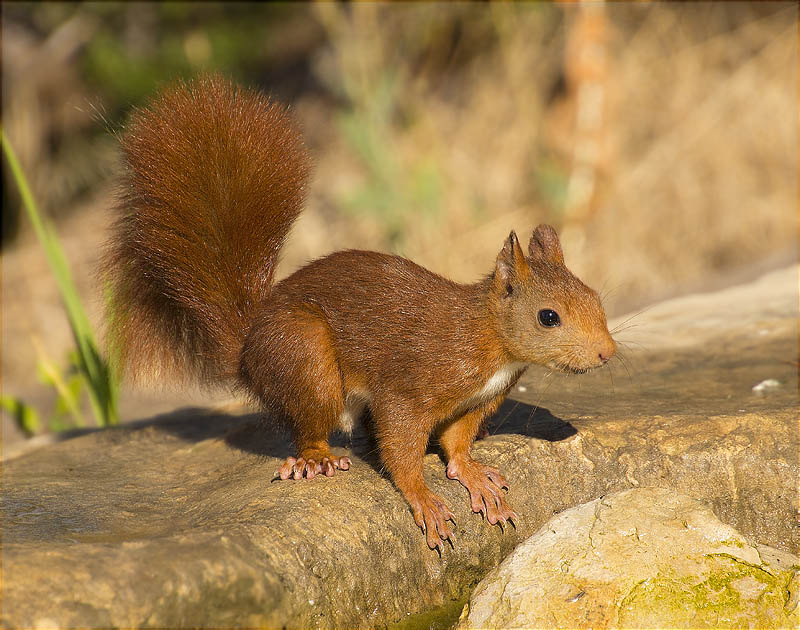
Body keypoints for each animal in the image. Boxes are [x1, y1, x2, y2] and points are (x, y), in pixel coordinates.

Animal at [106, 76, 616, 552]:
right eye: (548, 317)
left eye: (596, 297)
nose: (607, 354)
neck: (490, 341)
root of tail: (247, 353)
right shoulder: (412, 384)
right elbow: (401, 446)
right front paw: (424, 500)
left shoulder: (477, 401)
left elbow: (456, 441)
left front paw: (474, 476)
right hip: (303, 353)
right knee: (312, 423)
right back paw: (314, 459)